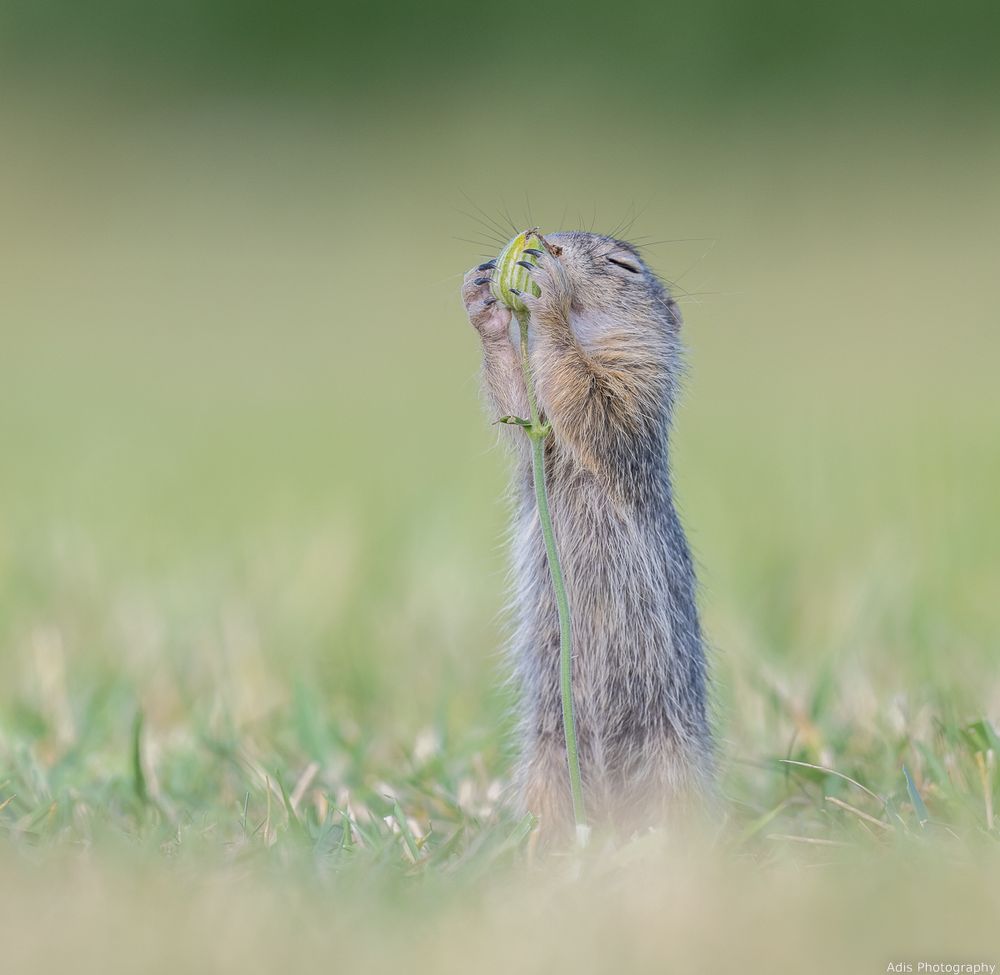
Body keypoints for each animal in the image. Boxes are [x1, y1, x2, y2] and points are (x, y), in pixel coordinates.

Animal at [464, 231, 716, 848]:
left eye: (623, 265)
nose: (550, 244)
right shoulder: (546, 445)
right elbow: (527, 410)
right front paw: (484, 302)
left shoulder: (637, 390)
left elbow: (595, 403)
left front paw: (548, 292)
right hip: (546, 758)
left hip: (674, 762)